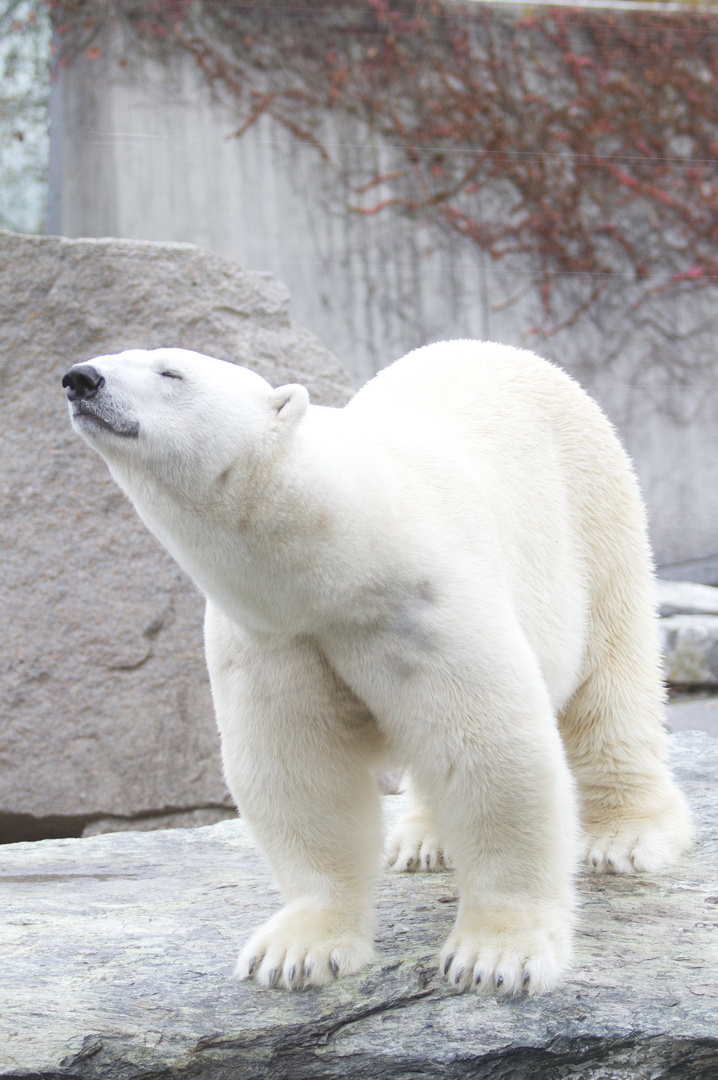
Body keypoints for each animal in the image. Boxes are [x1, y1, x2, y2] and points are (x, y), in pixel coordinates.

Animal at [64, 343, 691, 993]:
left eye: (171, 372)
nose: (81, 378)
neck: (343, 553)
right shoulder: (273, 636)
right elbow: (300, 772)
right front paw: (296, 952)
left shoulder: (424, 604)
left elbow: (491, 751)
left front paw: (495, 958)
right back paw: (422, 841)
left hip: (594, 512)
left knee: (609, 684)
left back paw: (625, 836)